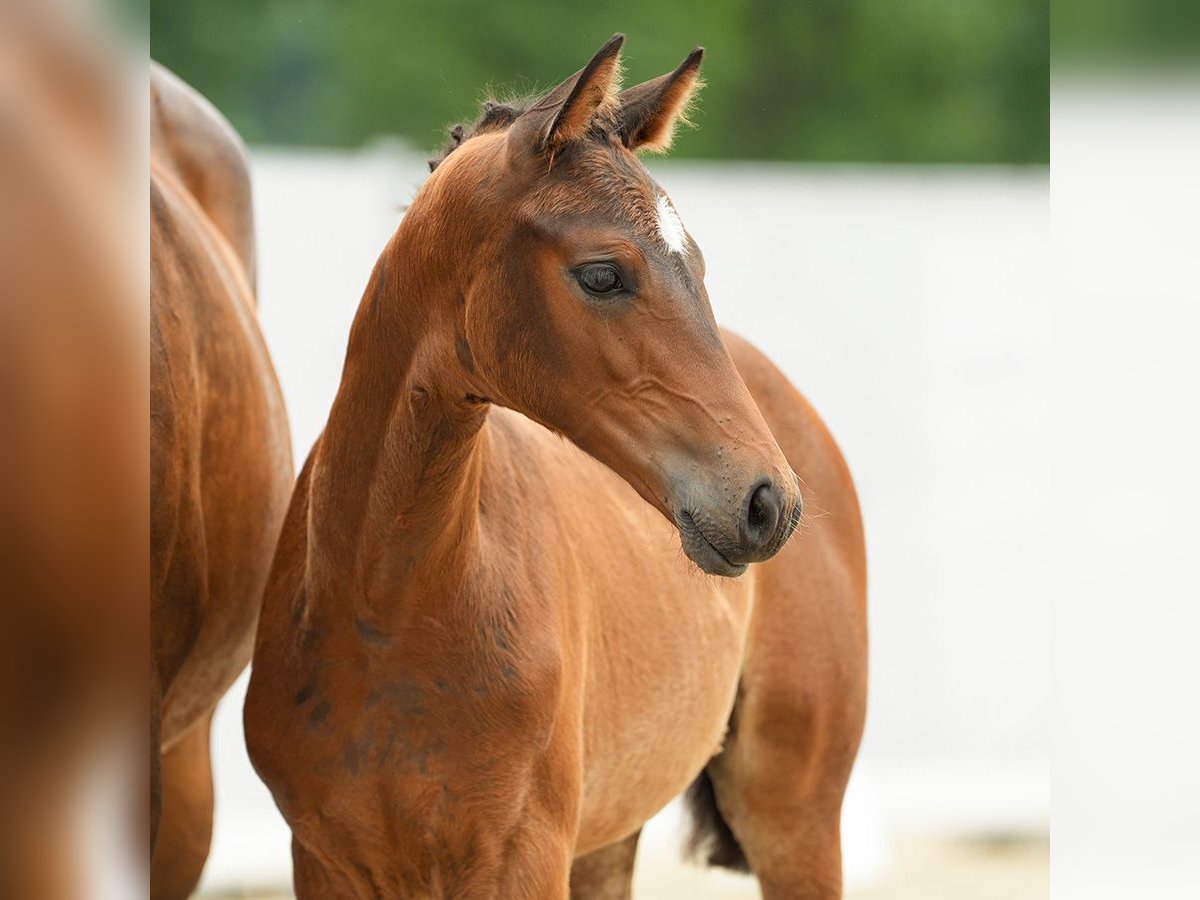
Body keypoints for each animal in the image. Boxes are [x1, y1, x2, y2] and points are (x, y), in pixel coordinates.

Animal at [246, 35, 864, 900]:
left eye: (699, 266)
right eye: (602, 273)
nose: (767, 502)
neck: (387, 607)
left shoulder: (521, 855)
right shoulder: (326, 858)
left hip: (794, 814)